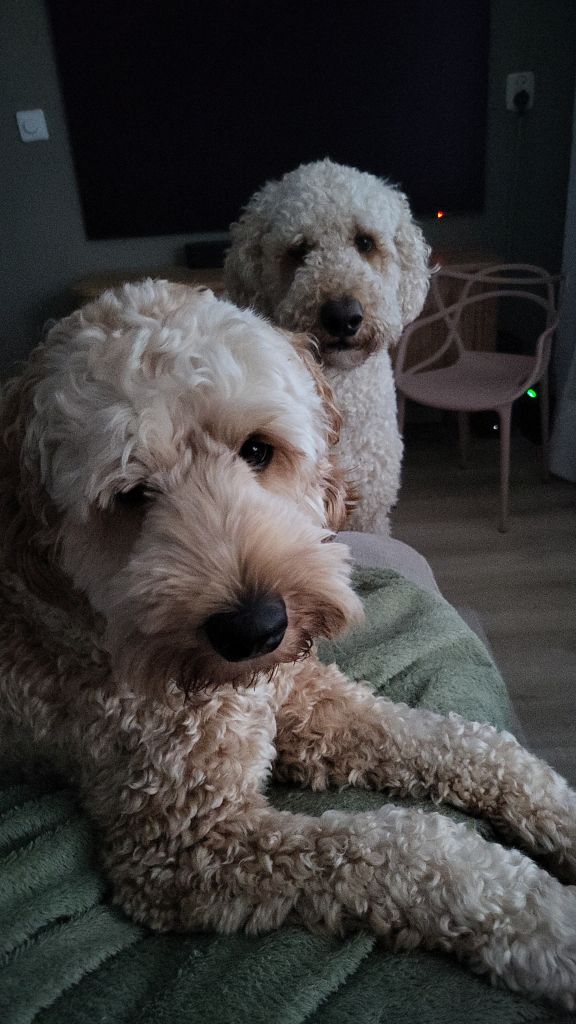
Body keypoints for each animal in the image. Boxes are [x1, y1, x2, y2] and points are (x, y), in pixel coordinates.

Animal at [1, 280, 575, 1009]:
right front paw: (549, 925)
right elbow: (409, 848)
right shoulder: (186, 843)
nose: (254, 628)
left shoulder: (308, 699)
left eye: (257, 451)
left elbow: (465, 742)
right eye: (130, 494)